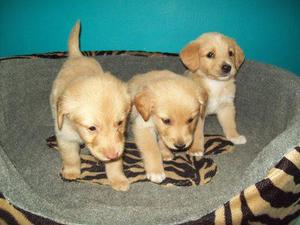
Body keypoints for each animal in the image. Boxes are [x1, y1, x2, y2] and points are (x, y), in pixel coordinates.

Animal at [49, 22, 131, 192]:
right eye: (92, 128)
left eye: (120, 123)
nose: (113, 155)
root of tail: (77, 56)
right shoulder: (64, 135)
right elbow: (71, 157)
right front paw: (71, 172)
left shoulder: (119, 143)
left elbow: (115, 164)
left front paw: (118, 179)